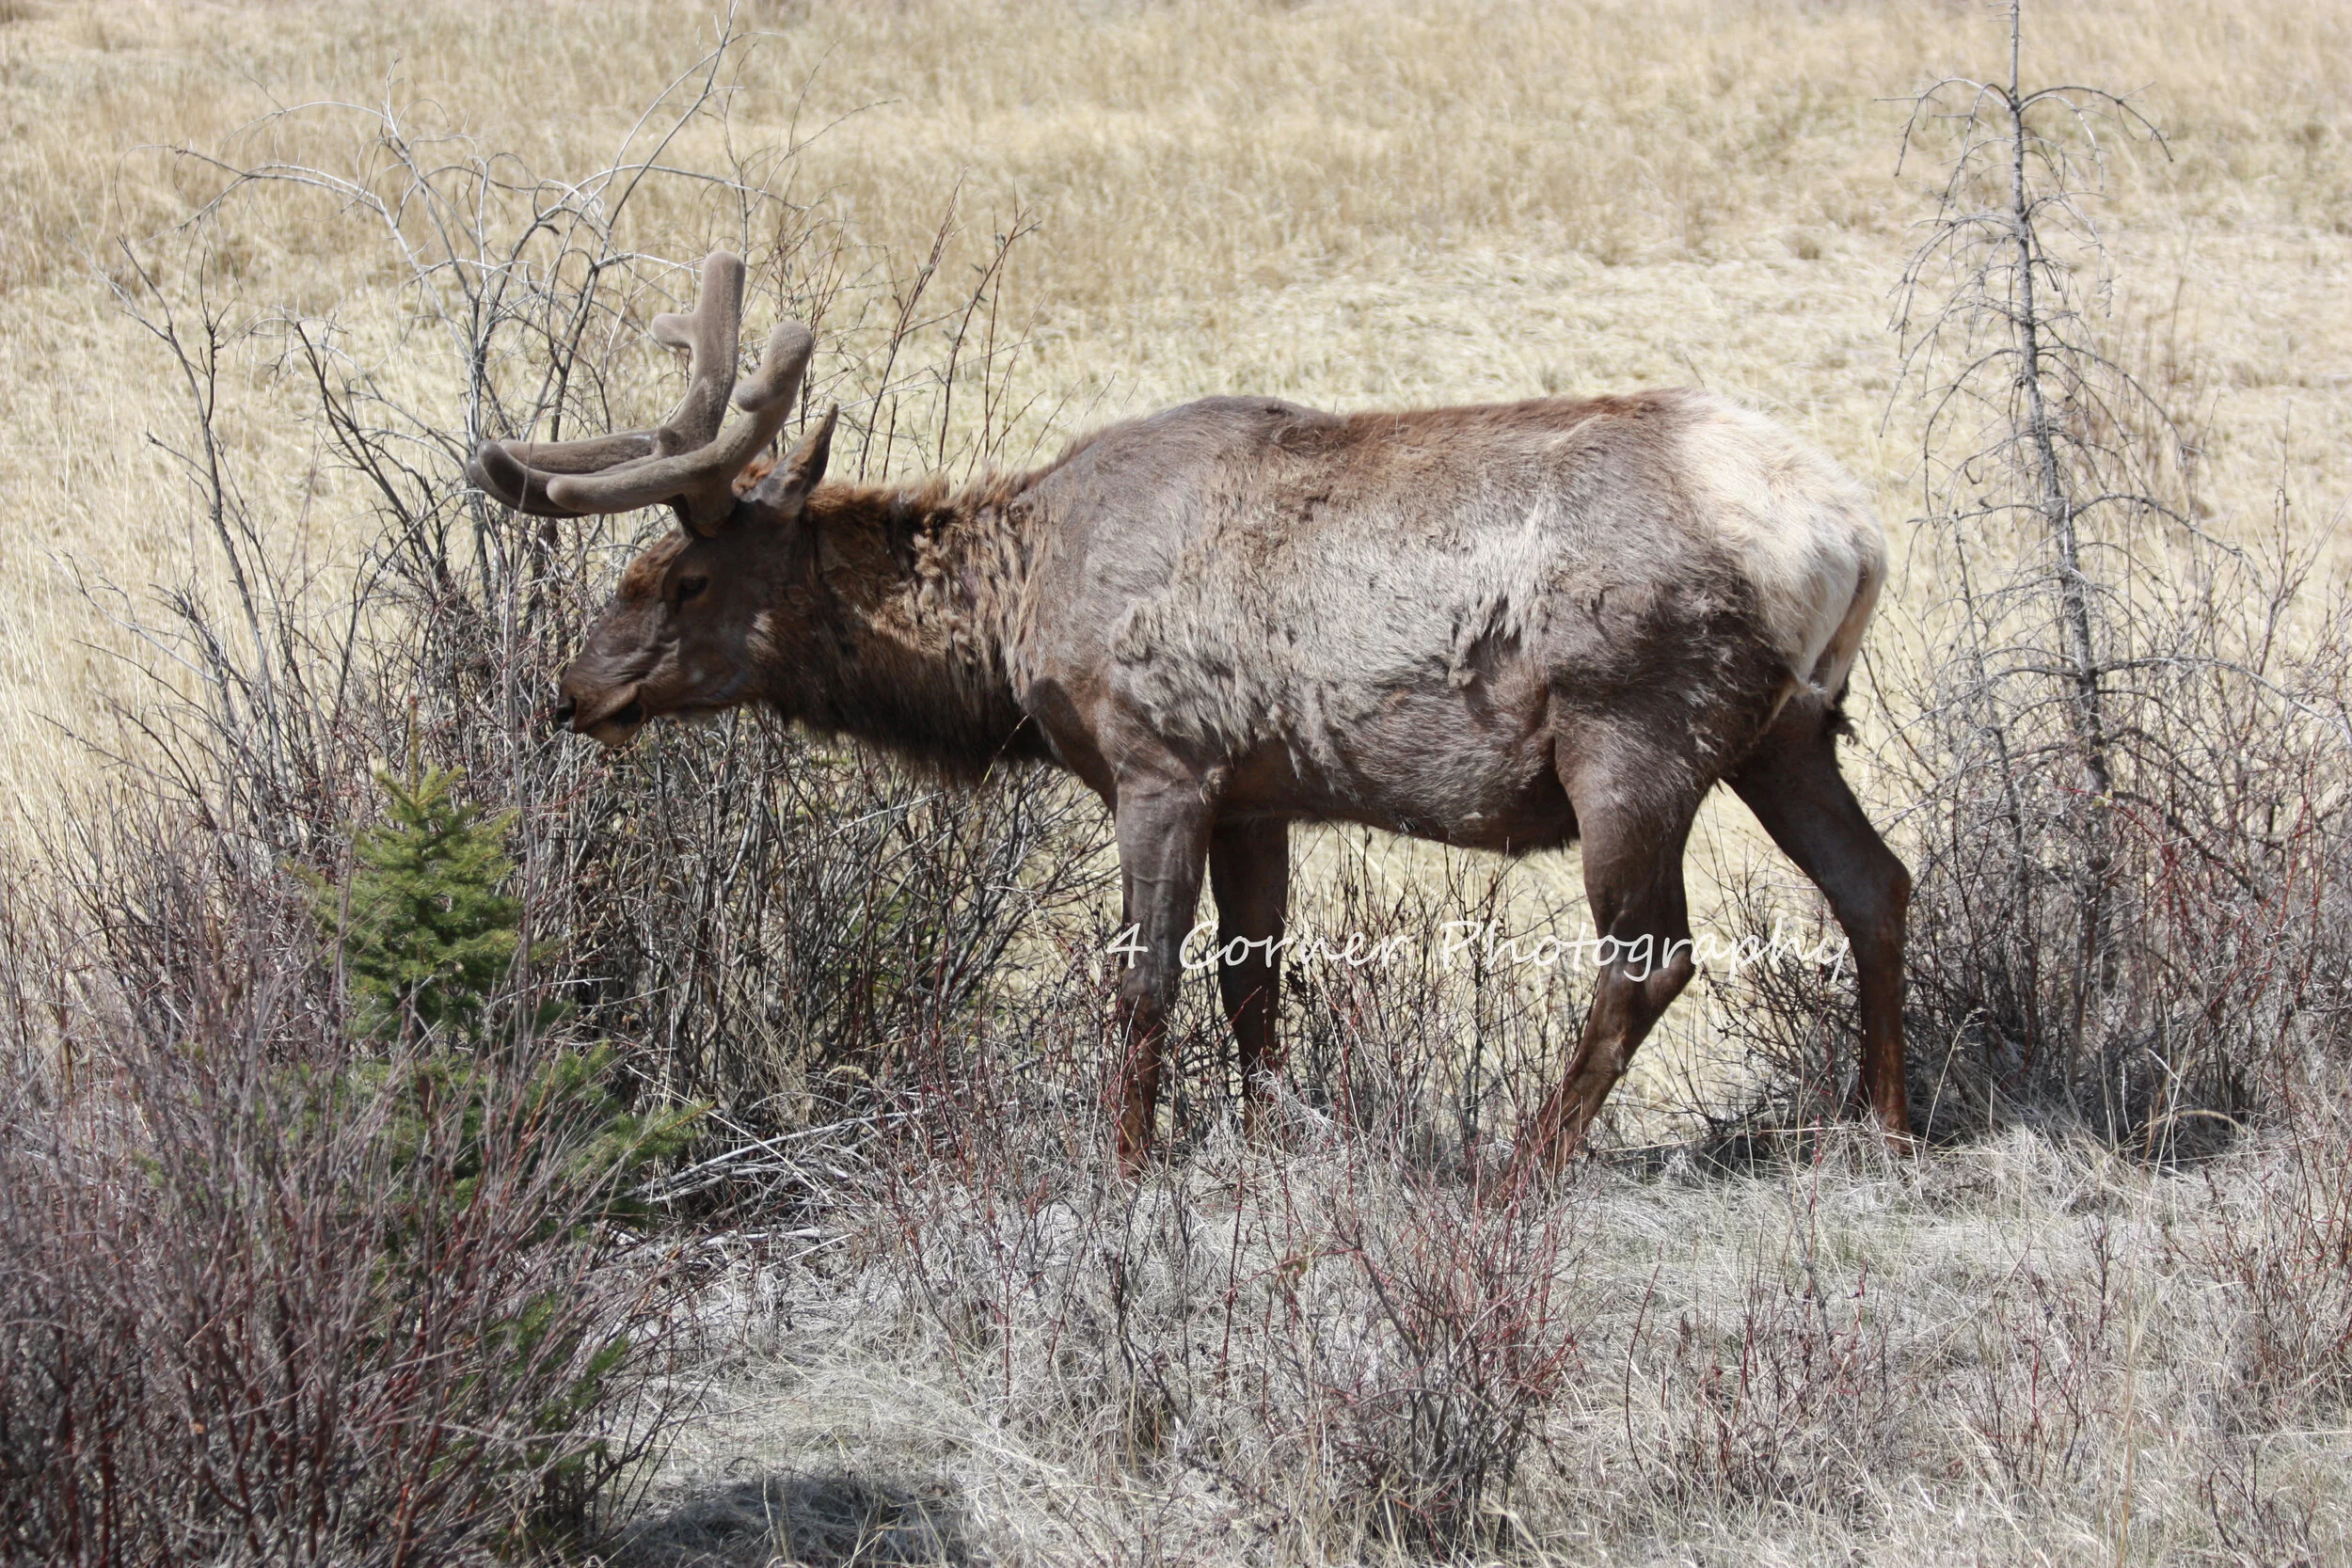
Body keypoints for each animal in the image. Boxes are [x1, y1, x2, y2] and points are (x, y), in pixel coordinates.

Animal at [468, 252, 1914, 1176]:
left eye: (682, 576)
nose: (571, 690)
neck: (1016, 618)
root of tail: (1849, 534)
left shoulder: (1159, 758)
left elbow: (1145, 978)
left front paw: (1124, 1166)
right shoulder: (1257, 788)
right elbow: (1253, 979)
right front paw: (1268, 1141)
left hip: (1633, 731)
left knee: (1651, 954)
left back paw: (1525, 1166)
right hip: (1787, 729)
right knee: (1876, 882)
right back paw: (1883, 1125)